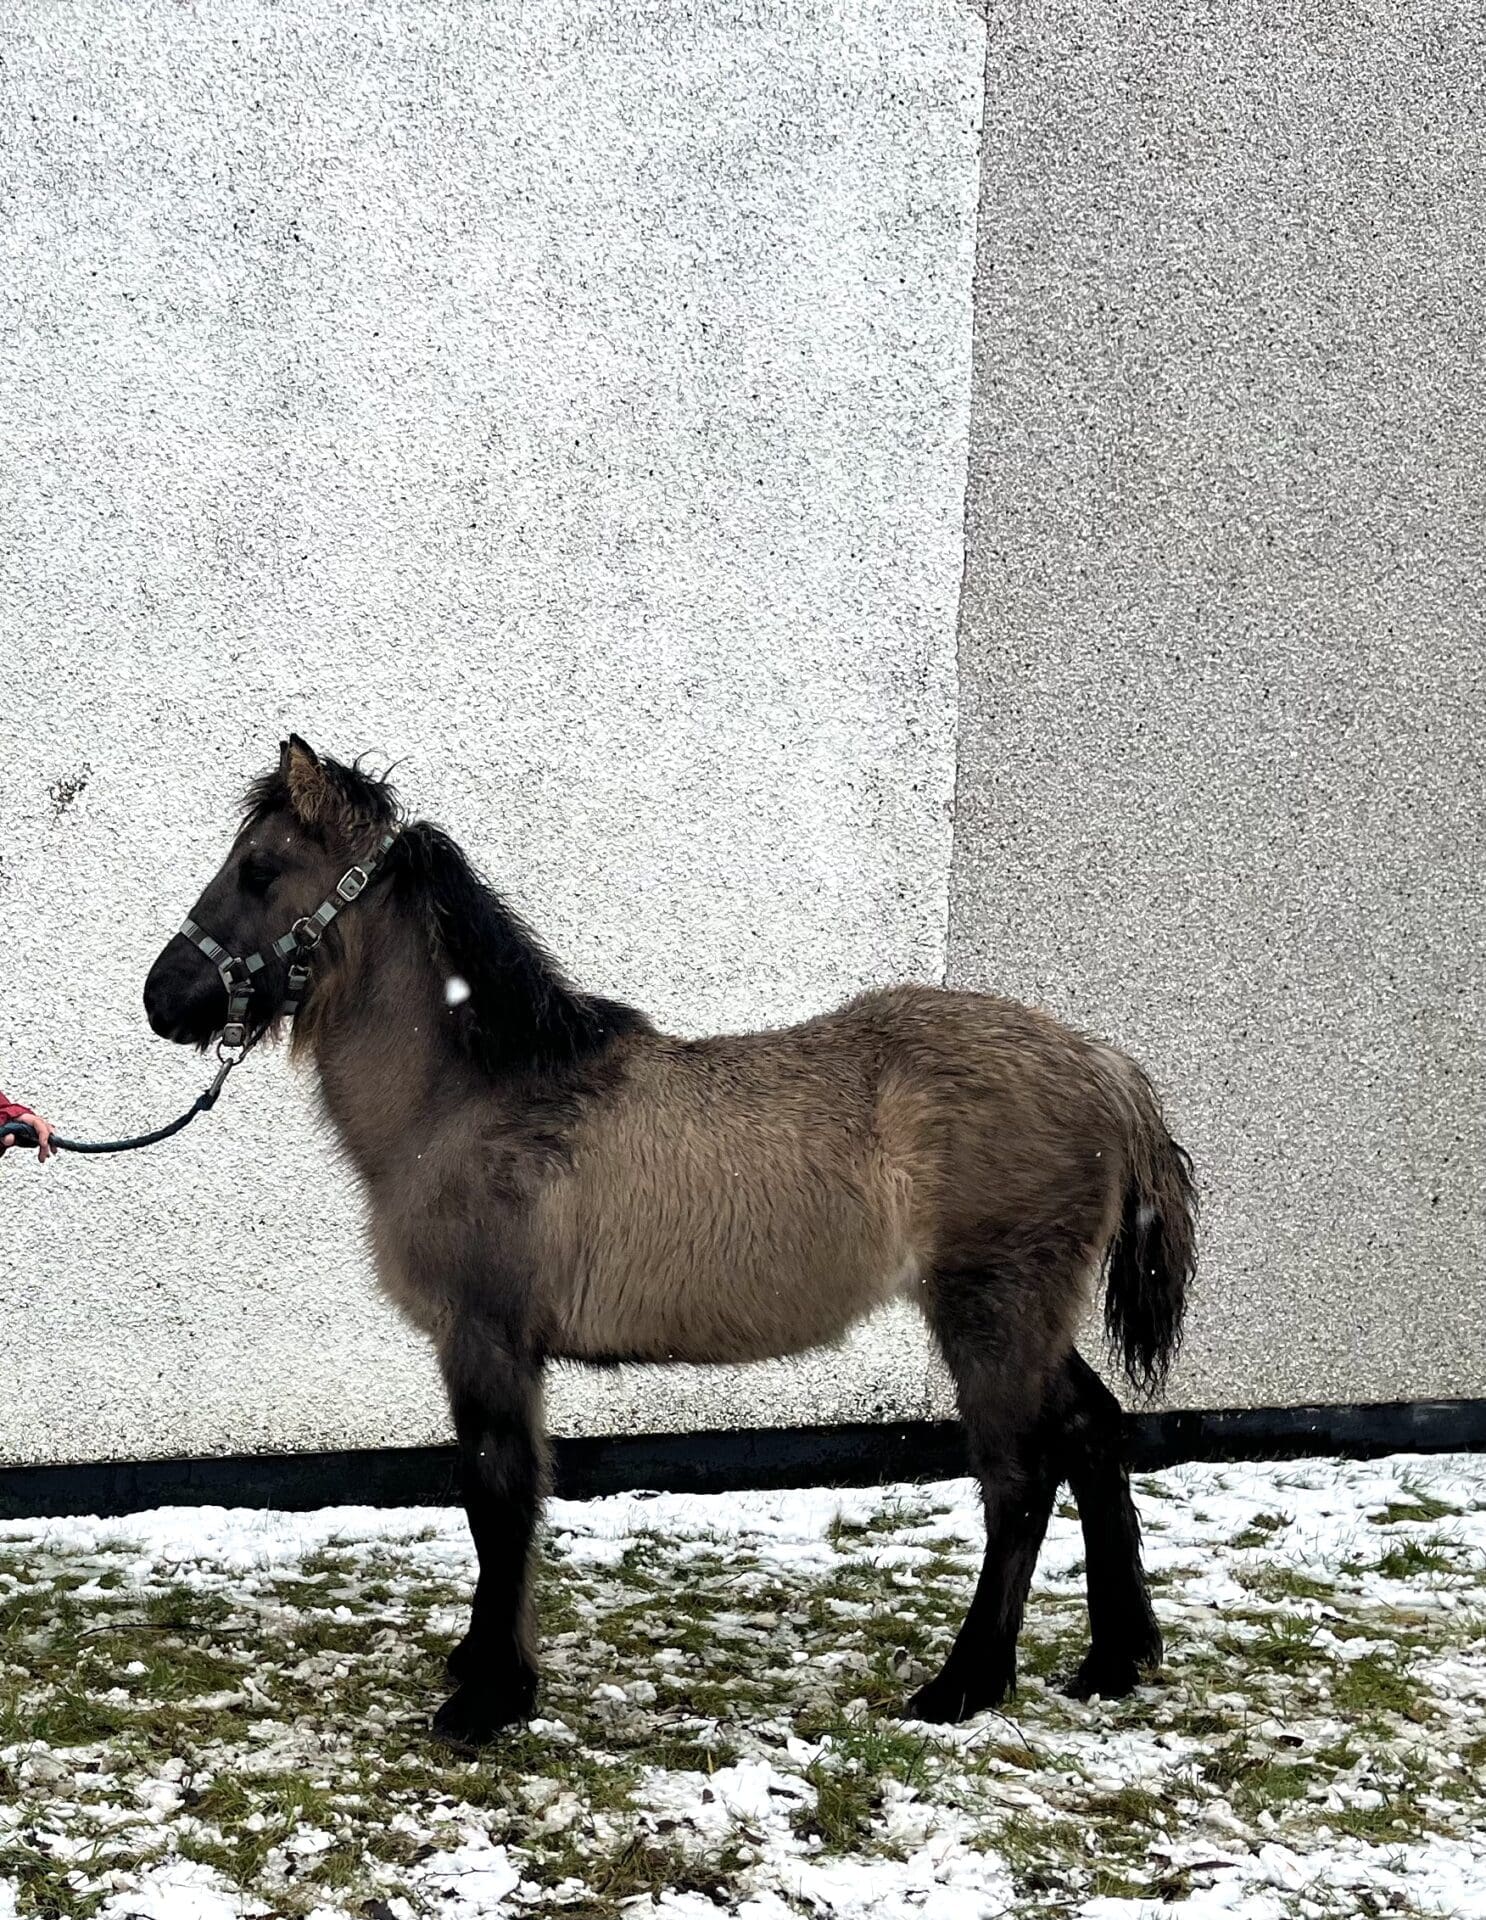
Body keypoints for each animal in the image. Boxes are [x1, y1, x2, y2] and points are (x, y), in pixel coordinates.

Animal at [143, 737, 1197, 1750]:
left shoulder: (486, 1342)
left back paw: (963, 1686)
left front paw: (488, 1699)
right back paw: (1114, 1660)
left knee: (1019, 1481)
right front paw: (484, 1669)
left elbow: (497, 1496)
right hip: (1033, 1322)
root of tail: (1106, 1068)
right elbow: (506, 1501)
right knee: (1096, 1434)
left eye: (260, 868)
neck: (476, 1101)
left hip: (991, 1315)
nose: (163, 997)